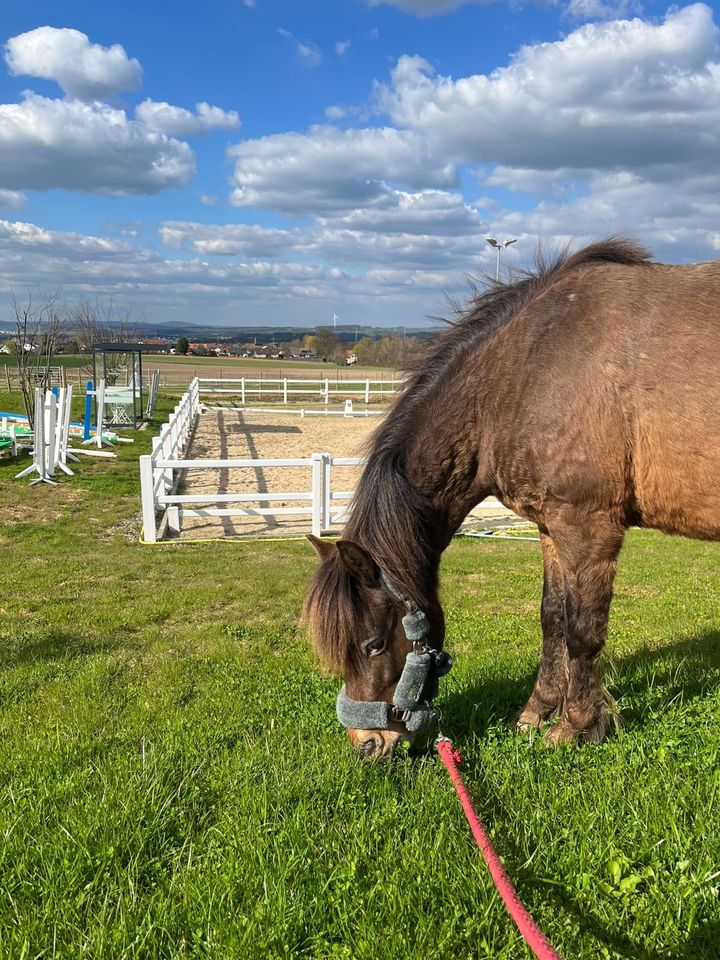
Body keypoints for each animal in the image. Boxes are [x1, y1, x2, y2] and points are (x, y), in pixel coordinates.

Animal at [304, 238, 720, 756]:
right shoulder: (551, 529)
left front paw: (575, 726)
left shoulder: (587, 528)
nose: (367, 744)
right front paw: (536, 713)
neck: (523, 371)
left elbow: (582, 632)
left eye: (372, 645)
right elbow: (552, 620)